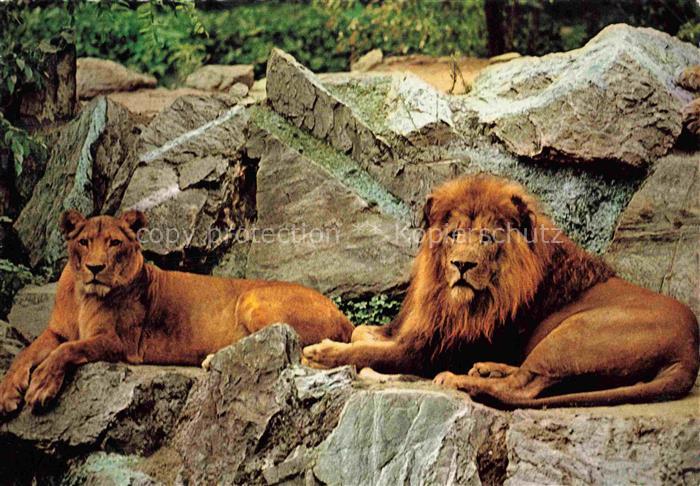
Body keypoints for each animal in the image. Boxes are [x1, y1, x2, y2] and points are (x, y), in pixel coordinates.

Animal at [0, 210, 353, 414]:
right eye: (84, 242)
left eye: (114, 243)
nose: (95, 268)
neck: (84, 295)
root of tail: (340, 312)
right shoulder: (56, 331)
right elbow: (27, 354)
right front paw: (8, 392)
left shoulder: (121, 342)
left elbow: (69, 350)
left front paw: (40, 386)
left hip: (252, 297)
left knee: (292, 346)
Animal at [303, 174, 699, 407]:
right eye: (454, 234)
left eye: (487, 238)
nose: (462, 265)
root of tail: (689, 353)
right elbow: (362, 332)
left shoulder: (429, 351)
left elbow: (369, 352)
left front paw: (321, 353)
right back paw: (486, 369)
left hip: (575, 332)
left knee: (523, 387)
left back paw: (460, 380)